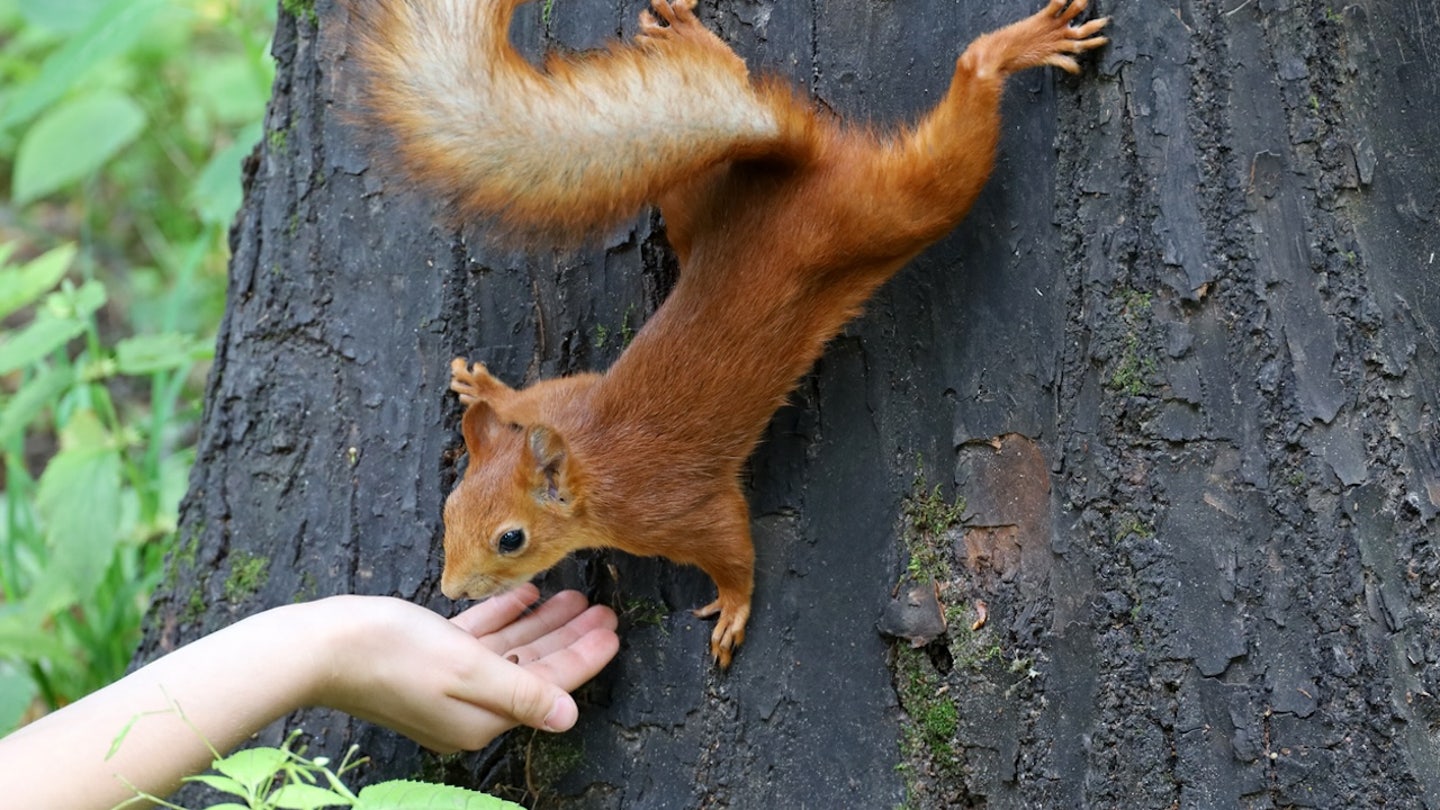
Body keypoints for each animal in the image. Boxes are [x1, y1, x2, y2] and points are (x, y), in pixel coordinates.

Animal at [342, 0, 1105, 662]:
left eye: (511, 540)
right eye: (449, 509)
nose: (452, 590)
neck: (591, 462)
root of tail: (800, 173)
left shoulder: (680, 509)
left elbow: (732, 547)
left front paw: (734, 608)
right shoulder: (571, 397)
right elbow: (540, 395)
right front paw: (486, 389)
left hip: (892, 211)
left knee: (961, 111)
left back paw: (1015, 48)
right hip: (694, 196)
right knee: (727, 89)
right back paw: (693, 41)